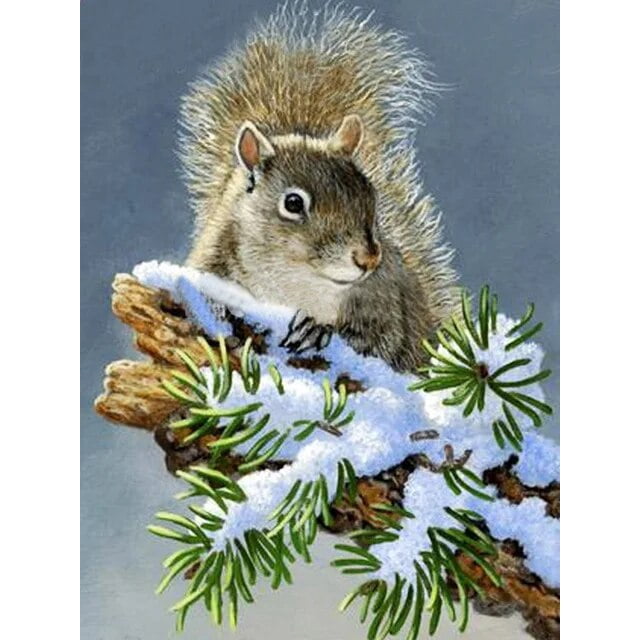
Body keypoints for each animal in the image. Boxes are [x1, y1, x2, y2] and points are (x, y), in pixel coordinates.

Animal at [180, 2, 458, 372]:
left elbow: (379, 344)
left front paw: (317, 328)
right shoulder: (212, 255)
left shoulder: (383, 299)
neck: (296, 281)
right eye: (293, 203)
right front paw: (213, 307)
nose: (369, 258)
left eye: (371, 195)